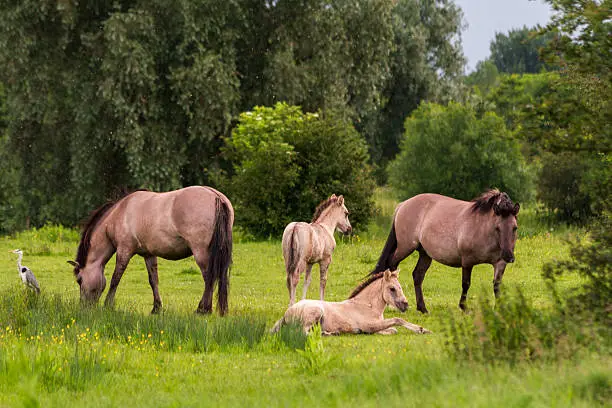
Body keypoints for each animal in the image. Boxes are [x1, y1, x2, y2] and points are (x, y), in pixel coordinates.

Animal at [67, 186, 234, 316]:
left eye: (79, 280)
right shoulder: (149, 254)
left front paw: (108, 304)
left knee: (209, 278)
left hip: (201, 253)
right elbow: (153, 280)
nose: (84, 306)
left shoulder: (124, 250)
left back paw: (203, 309)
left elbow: (116, 278)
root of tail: (216, 197)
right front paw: (157, 308)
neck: (119, 213)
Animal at [270, 270, 432, 334]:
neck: (367, 306)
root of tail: (286, 313)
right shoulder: (369, 324)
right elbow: (398, 320)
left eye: (400, 287)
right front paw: (422, 329)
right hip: (315, 313)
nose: (405, 305)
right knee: (303, 332)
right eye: (392, 288)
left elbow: (393, 329)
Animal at [370, 189, 520, 312]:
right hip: (405, 248)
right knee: (392, 264)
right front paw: (464, 307)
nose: (508, 256)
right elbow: (466, 284)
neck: (483, 228)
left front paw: (499, 308)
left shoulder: (500, 263)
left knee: (418, 275)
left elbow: (497, 285)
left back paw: (423, 308)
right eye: (497, 228)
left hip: (425, 254)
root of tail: (403, 205)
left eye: (515, 228)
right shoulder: (467, 261)